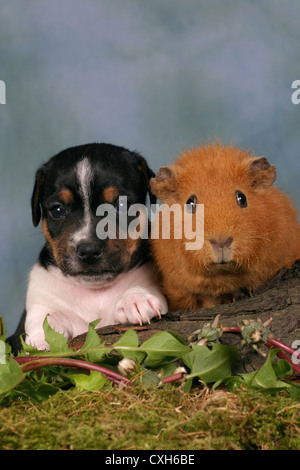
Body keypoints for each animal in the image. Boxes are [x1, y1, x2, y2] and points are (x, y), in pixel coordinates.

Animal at [7, 143, 166, 352]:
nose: (89, 250)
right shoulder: (41, 301)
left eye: (121, 206)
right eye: (57, 210)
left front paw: (136, 299)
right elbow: (45, 318)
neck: (94, 292)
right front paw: (41, 342)